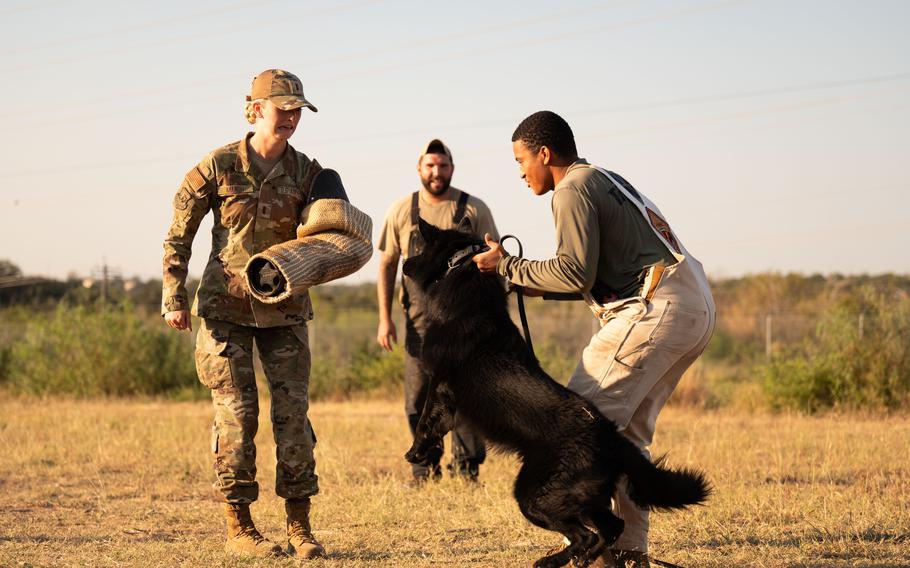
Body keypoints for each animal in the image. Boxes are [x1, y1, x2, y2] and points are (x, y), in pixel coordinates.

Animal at [406, 221, 712, 568]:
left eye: (418, 245)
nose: (403, 263)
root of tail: (611, 437)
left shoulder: (439, 387)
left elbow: (426, 422)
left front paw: (415, 452)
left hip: (535, 495)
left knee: (587, 534)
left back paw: (558, 560)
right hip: (582, 497)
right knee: (611, 527)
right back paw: (579, 559)